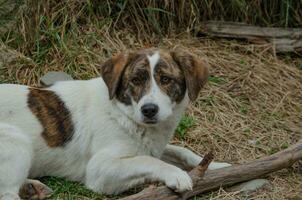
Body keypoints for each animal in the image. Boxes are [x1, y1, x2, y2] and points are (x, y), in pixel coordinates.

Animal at [0, 48, 229, 200]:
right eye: (136, 80)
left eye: (165, 79)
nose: (149, 110)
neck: (122, 113)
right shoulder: (99, 169)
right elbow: (146, 161)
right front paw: (176, 174)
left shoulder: (152, 146)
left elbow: (182, 151)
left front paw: (218, 166)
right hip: (17, 140)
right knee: (7, 194)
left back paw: (31, 188)